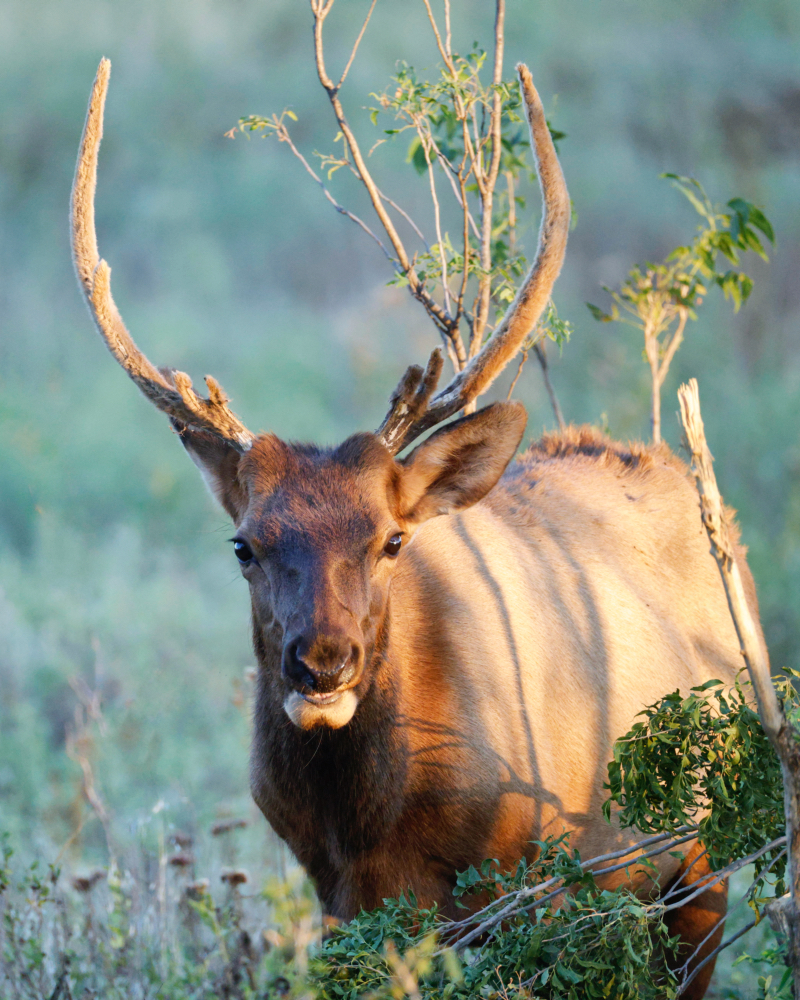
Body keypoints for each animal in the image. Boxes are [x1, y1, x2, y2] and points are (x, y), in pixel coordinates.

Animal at [70, 58, 764, 996]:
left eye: (392, 540)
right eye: (245, 545)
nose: (323, 662)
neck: (377, 825)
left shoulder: (537, 884)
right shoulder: (342, 901)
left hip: (699, 855)